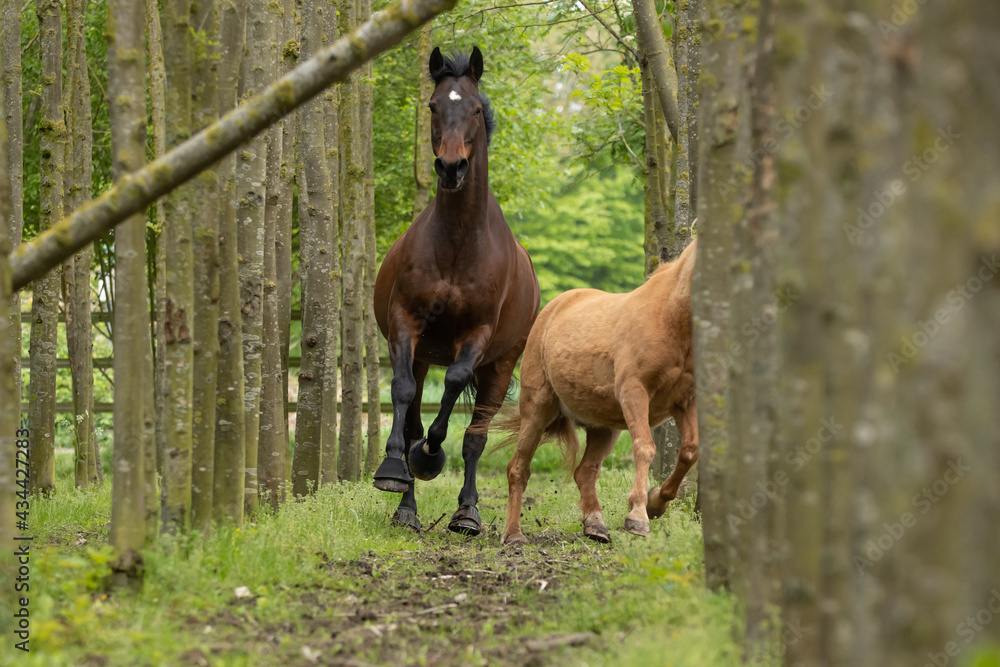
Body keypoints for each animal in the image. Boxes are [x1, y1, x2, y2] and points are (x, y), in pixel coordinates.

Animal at [372, 47, 540, 536]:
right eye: (432, 106)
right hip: (423, 353)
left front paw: (430, 456)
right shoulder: (405, 325)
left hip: (501, 366)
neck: (459, 243)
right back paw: (407, 506)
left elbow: (454, 386)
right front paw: (396, 468)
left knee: (475, 438)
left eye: (474, 109)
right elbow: (403, 393)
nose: (450, 168)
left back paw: (467, 512)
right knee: (412, 410)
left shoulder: (477, 337)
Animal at [500, 243, 696, 544]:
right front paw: (638, 516)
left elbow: (689, 452)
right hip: (537, 410)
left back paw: (595, 525)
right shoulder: (634, 391)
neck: (670, 316)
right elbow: (645, 448)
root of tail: (552, 309)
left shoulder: (685, 401)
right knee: (518, 469)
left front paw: (656, 504)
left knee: (585, 472)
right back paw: (513, 534)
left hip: (605, 427)